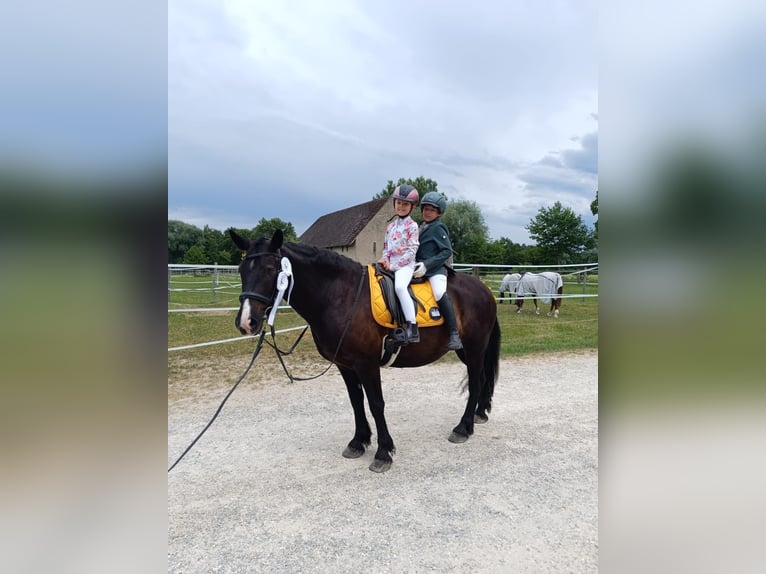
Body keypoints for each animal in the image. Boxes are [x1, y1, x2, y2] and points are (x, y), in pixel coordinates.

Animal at [229, 229, 501, 473]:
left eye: (269, 269)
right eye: (242, 270)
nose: (246, 322)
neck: (341, 296)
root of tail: (483, 289)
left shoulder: (367, 364)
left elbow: (376, 403)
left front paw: (383, 452)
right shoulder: (345, 364)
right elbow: (356, 401)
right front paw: (358, 442)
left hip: (474, 348)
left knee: (476, 382)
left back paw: (463, 428)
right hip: (467, 351)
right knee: (482, 379)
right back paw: (479, 415)